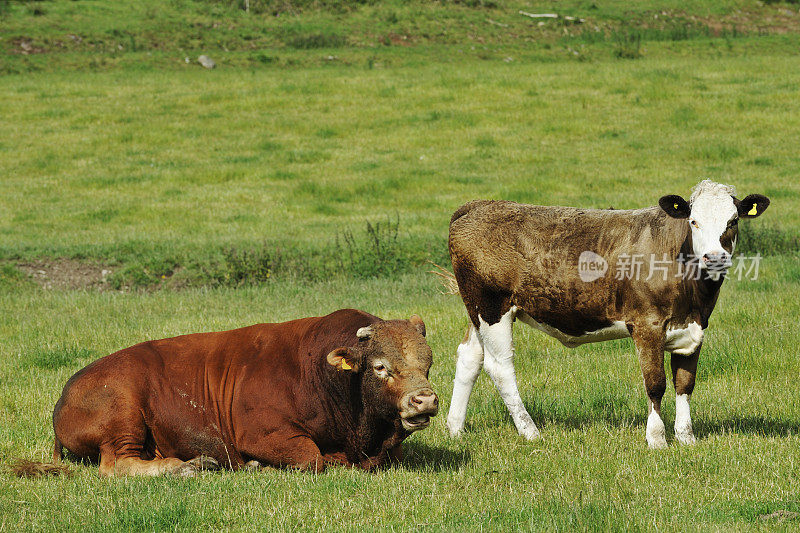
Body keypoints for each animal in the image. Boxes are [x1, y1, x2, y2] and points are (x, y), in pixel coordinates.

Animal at [12, 306, 438, 476]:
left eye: (428, 363)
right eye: (380, 367)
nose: (425, 399)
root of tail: (66, 394)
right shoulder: (263, 433)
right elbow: (313, 459)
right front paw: (258, 467)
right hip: (123, 413)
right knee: (117, 464)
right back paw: (186, 467)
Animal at [450, 181, 768, 446]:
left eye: (733, 221)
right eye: (693, 221)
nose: (714, 257)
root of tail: (481, 205)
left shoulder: (693, 329)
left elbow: (684, 384)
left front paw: (686, 437)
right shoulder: (647, 325)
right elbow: (656, 384)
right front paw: (657, 439)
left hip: (476, 311)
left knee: (470, 356)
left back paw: (455, 428)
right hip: (492, 307)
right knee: (500, 367)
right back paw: (530, 432)